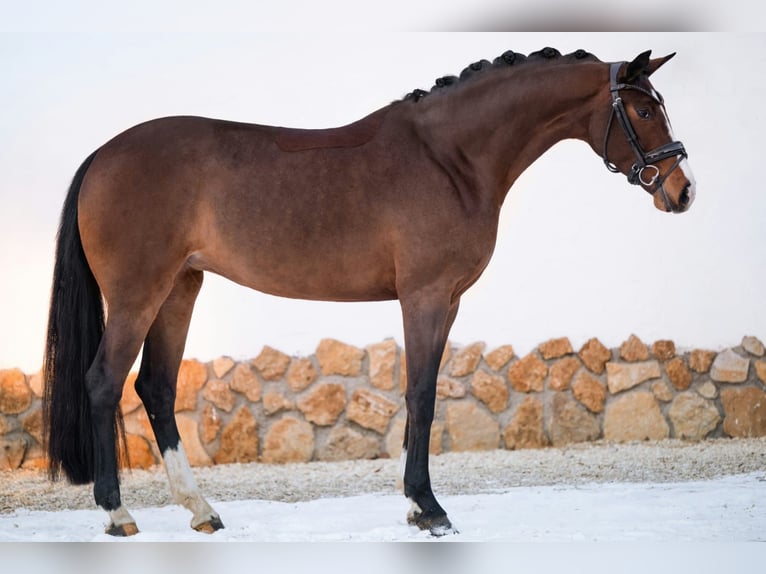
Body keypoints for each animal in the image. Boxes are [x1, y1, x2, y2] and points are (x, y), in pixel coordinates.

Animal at [43, 47, 695, 537]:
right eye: (642, 109)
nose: (682, 190)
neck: (451, 159)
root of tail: (103, 154)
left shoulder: (447, 300)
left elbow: (421, 394)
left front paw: (414, 504)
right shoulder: (426, 296)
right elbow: (421, 394)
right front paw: (429, 509)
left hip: (180, 288)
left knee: (155, 387)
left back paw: (203, 511)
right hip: (138, 294)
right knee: (105, 382)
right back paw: (117, 513)